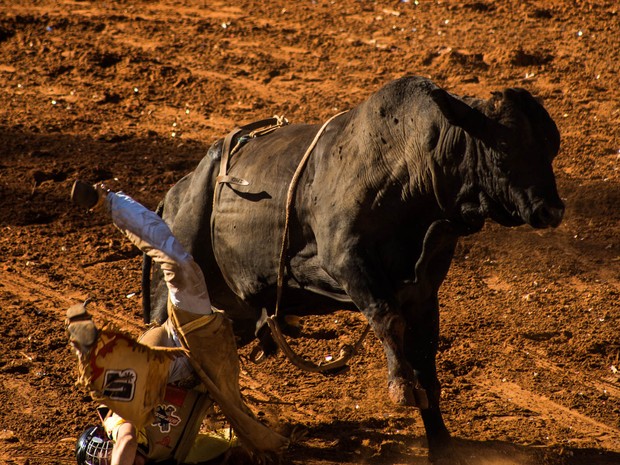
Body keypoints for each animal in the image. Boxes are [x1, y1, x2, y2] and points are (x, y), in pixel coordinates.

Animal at [144, 76, 560, 456]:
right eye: (504, 146)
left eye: (550, 148)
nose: (552, 209)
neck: (408, 169)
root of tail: (176, 192)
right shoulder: (346, 260)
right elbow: (387, 317)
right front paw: (400, 387)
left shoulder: (425, 291)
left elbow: (426, 358)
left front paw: (441, 443)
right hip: (176, 285)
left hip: (235, 311)